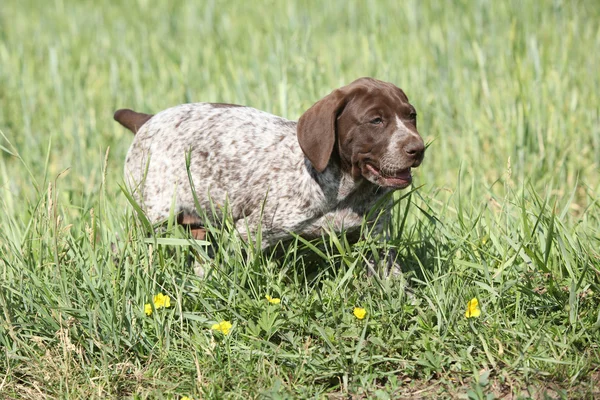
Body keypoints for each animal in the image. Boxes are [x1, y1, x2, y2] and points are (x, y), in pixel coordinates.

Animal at [117, 77, 424, 270]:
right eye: (376, 120)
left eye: (411, 116)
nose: (417, 148)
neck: (347, 189)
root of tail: (148, 120)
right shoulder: (250, 232)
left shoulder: (376, 240)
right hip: (151, 217)